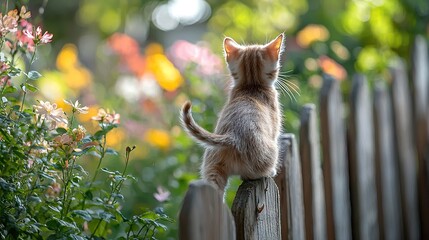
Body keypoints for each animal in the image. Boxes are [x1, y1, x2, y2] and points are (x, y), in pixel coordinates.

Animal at [179, 33, 282, 192]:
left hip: (213, 170)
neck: (251, 85)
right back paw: (269, 171)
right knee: (252, 174)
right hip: (269, 152)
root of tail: (232, 137)